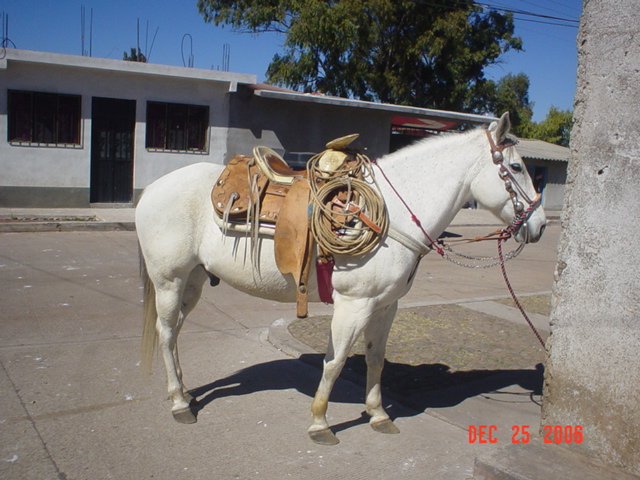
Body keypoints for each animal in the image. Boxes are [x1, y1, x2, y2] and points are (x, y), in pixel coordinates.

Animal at [135, 113, 544, 446]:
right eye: (516, 166)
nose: (539, 225)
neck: (392, 215)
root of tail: (151, 189)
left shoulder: (386, 305)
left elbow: (376, 358)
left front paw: (378, 414)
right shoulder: (354, 303)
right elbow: (335, 362)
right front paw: (320, 422)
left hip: (192, 281)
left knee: (174, 331)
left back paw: (185, 392)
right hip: (169, 280)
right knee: (166, 332)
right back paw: (179, 403)